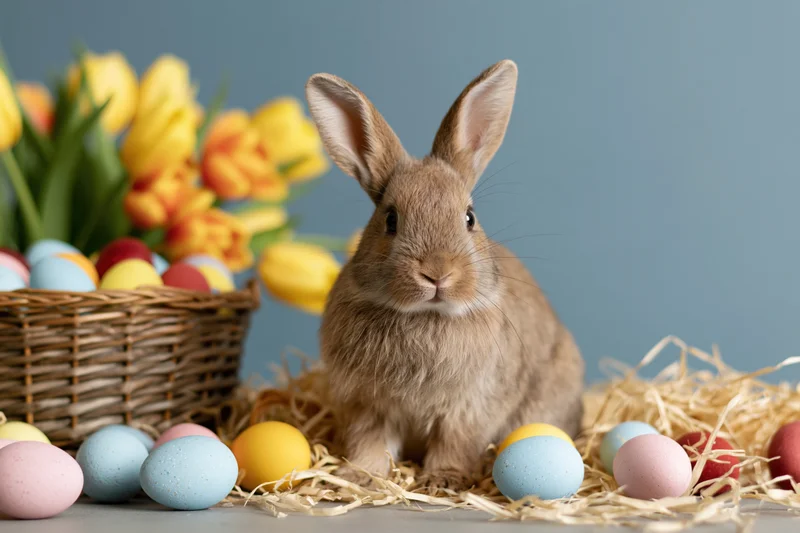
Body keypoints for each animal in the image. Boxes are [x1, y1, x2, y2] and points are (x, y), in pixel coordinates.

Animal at [305, 59, 585, 490]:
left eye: (470, 218)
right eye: (390, 219)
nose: (437, 274)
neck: (426, 316)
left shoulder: (468, 409)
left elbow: (455, 443)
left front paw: (442, 481)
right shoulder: (367, 406)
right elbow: (370, 442)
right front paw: (361, 477)